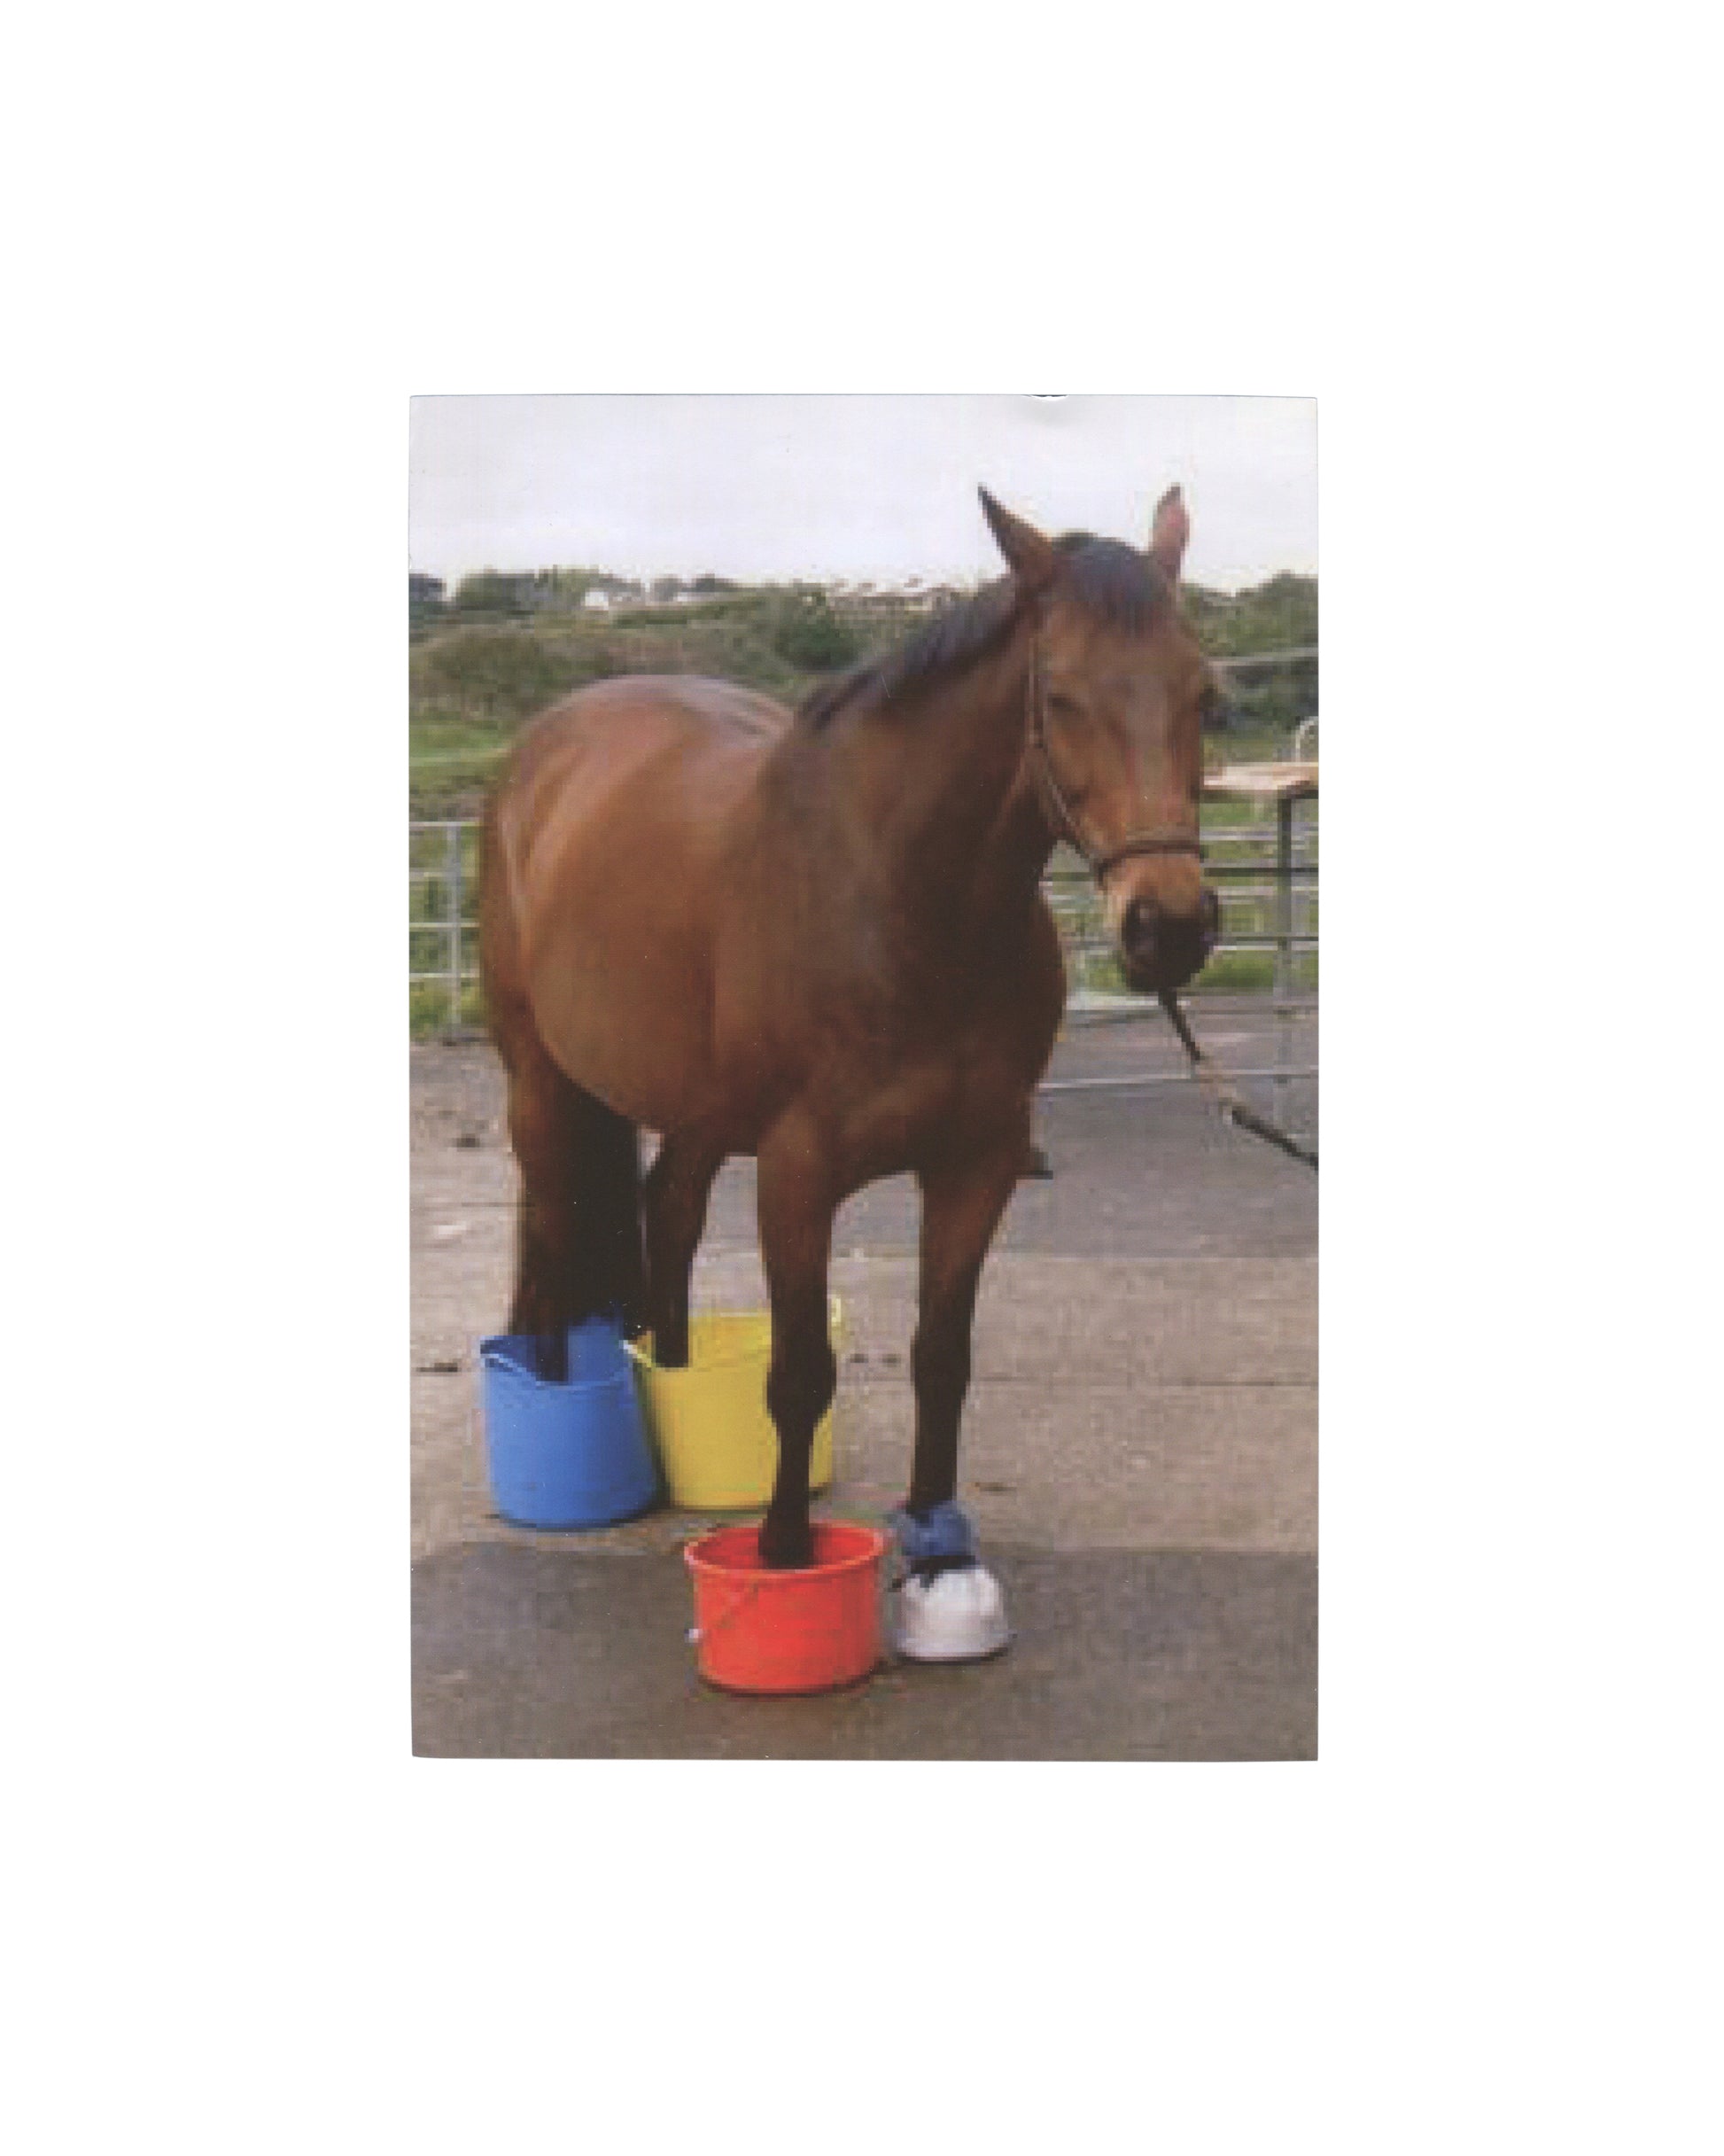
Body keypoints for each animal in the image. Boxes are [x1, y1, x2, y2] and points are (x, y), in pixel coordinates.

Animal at [477, 484, 1221, 1633]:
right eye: (1057, 696)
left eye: (1202, 694)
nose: (1167, 928)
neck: (901, 904)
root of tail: (539, 754)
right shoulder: (797, 1172)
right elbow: (799, 1374)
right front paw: (782, 1556)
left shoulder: (975, 1162)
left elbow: (940, 1358)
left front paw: (936, 1545)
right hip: (540, 1082)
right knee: (556, 1243)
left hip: (695, 1115)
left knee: (669, 1212)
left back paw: (677, 1384)